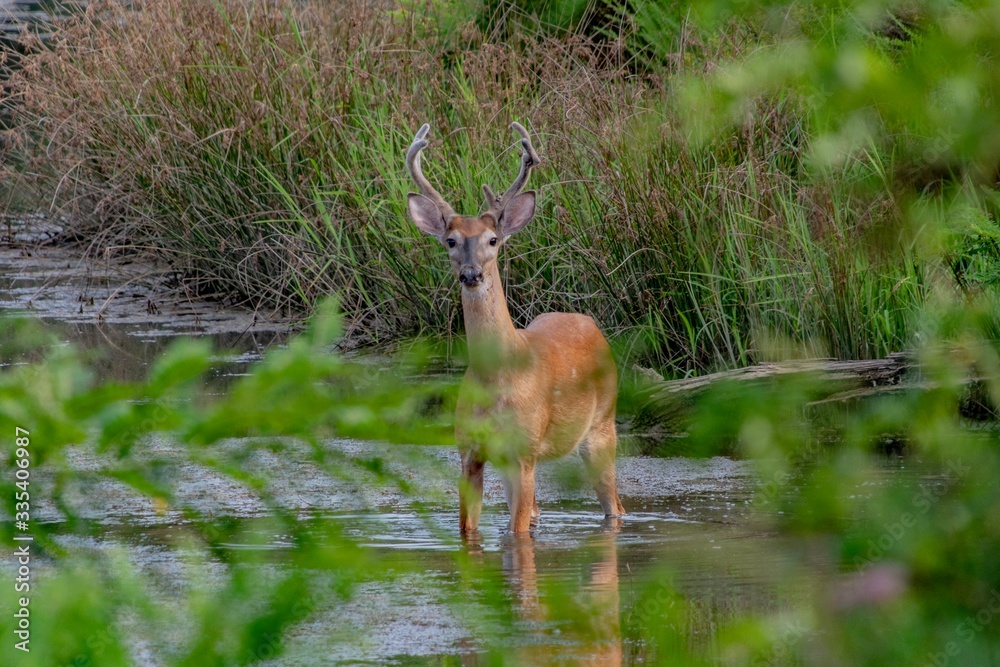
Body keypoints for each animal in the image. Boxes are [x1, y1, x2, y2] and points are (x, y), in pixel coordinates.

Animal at [405, 122, 626, 535]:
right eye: (451, 240)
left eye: (493, 240)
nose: (471, 274)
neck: (497, 381)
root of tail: (588, 322)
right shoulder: (469, 452)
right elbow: (470, 530)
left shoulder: (524, 450)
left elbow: (517, 534)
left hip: (602, 425)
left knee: (615, 504)